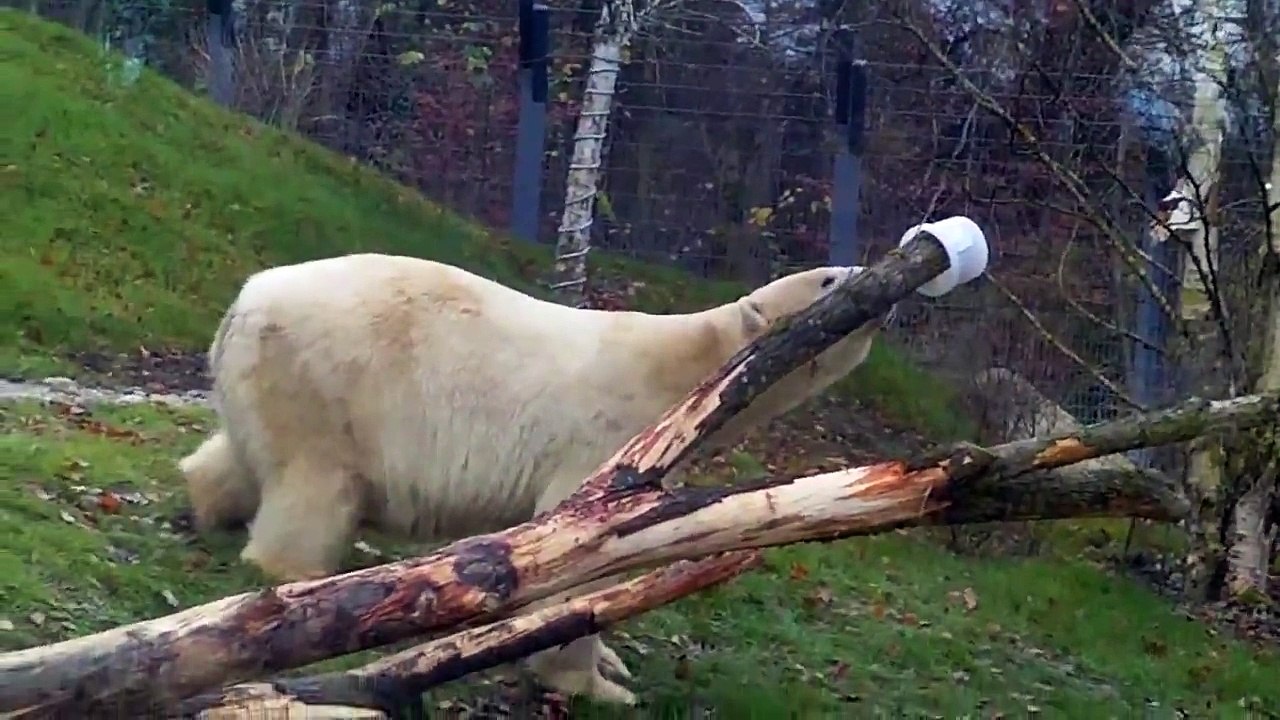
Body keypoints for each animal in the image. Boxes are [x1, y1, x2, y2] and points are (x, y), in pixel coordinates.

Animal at [178, 253, 895, 706]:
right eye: (829, 276)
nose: (875, 278)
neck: (685, 365)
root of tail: (244, 302)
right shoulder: (607, 435)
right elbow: (583, 559)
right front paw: (597, 684)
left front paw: (609, 660)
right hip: (329, 381)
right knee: (315, 485)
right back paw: (295, 577)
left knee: (244, 457)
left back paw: (209, 506)